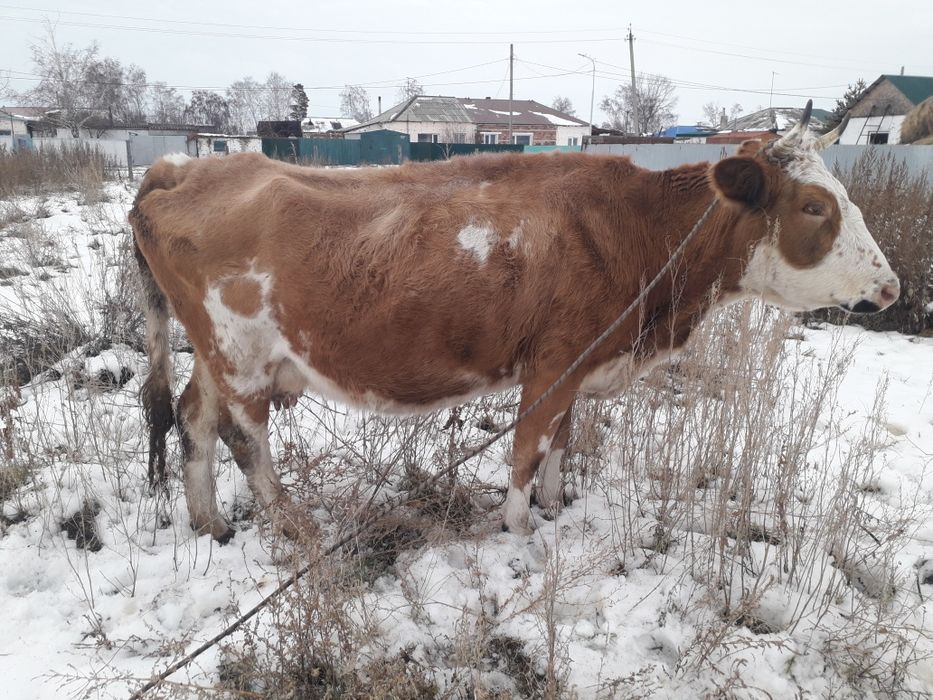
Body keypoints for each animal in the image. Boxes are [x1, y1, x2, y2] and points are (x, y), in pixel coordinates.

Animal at [130, 102, 899, 542]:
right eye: (813, 207)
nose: (890, 286)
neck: (633, 229)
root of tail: (184, 168)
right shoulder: (553, 362)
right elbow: (529, 446)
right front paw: (519, 526)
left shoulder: (581, 359)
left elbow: (562, 440)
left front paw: (557, 507)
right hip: (243, 355)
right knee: (244, 436)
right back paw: (291, 525)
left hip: (214, 353)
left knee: (195, 419)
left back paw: (210, 522)